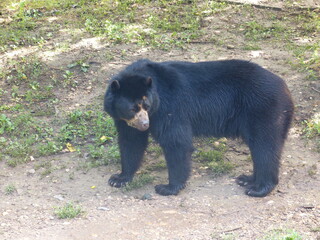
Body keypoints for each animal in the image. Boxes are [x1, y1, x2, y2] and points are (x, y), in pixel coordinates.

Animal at [104, 59, 294, 198]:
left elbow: (176, 141)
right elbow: (131, 142)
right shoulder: (124, 120)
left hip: (263, 110)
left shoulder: (169, 108)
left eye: (147, 105)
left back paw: (259, 188)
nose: (145, 125)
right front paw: (119, 178)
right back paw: (247, 179)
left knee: (265, 147)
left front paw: (167, 187)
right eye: (132, 109)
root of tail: (285, 86)